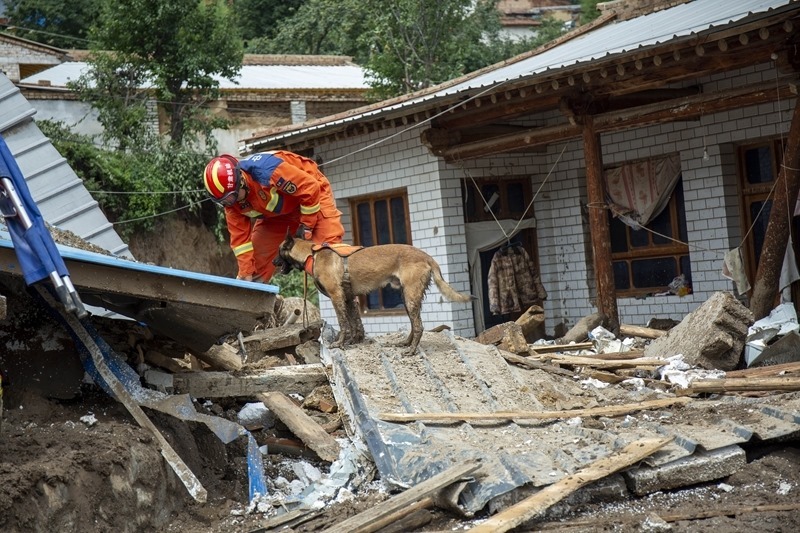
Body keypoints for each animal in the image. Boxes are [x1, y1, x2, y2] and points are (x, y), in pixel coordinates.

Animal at [273, 233, 472, 354]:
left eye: (279, 251)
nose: (274, 262)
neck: (312, 255)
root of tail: (427, 256)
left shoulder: (337, 296)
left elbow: (343, 323)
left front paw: (339, 343)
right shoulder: (347, 298)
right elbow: (353, 323)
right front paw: (352, 341)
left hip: (410, 296)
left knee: (419, 326)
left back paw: (411, 350)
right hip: (407, 297)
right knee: (413, 323)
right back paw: (406, 343)